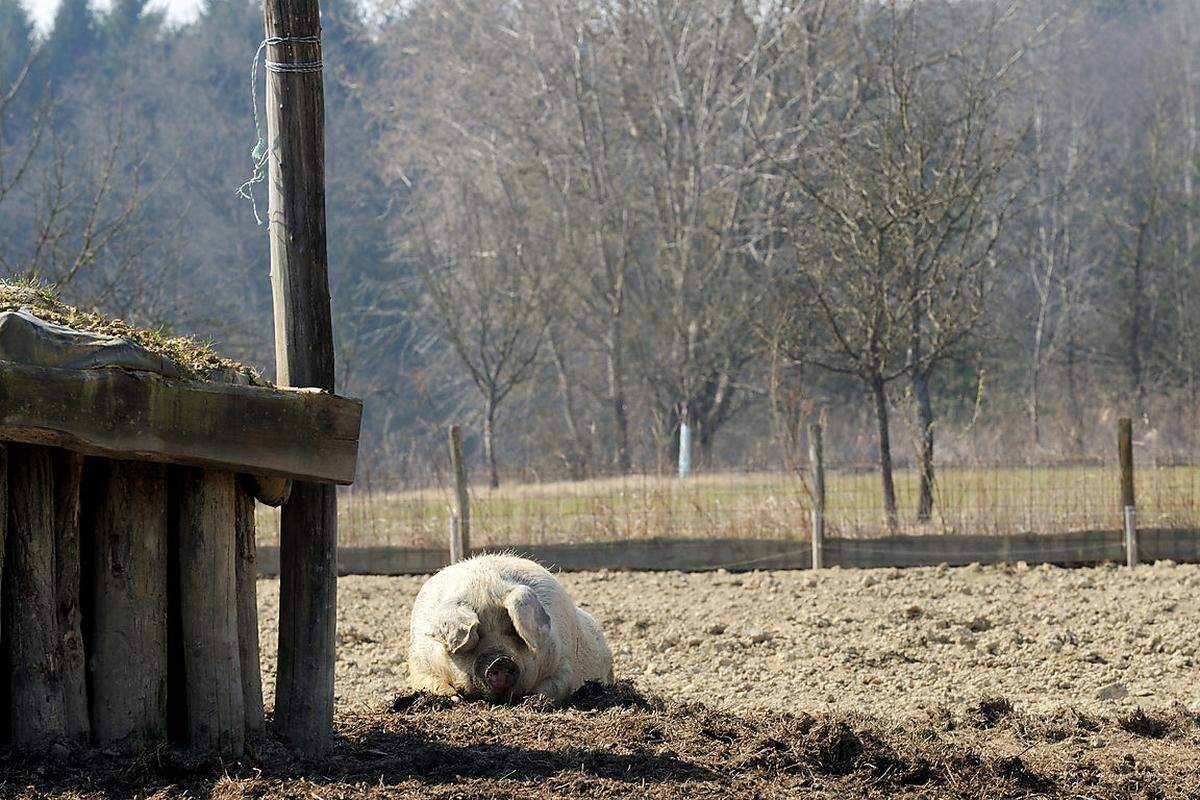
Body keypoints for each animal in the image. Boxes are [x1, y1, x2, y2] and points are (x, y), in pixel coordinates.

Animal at [408, 554, 614, 705]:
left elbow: (557, 686)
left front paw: (533, 700)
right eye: (477, 634)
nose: (500, 661)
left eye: (512, 630)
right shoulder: (418, 664)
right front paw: (456, 699)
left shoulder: (563, 663)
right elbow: (430, 683)